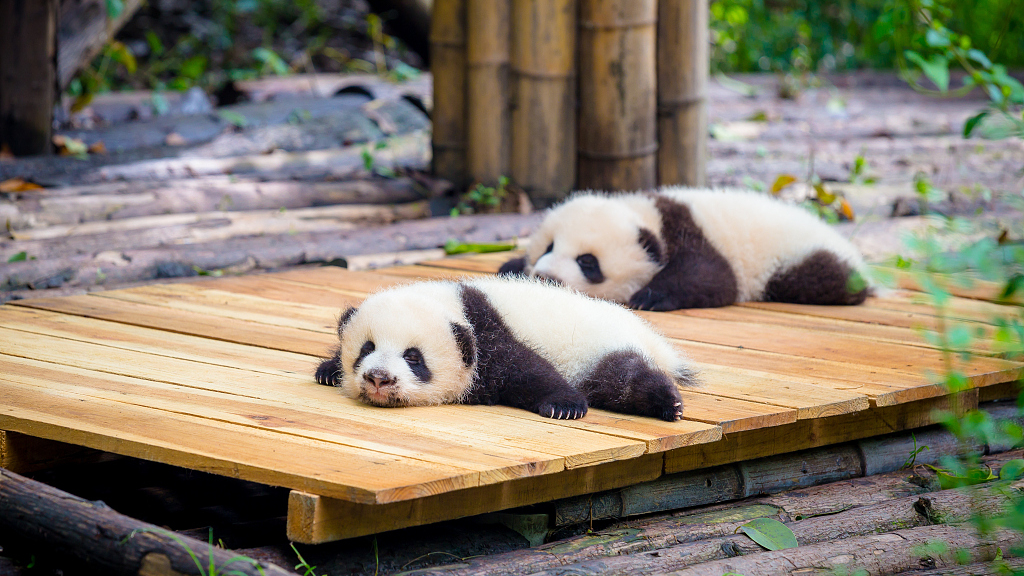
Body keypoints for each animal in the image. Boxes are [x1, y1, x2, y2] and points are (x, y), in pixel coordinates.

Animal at [315, 276, 697, 421]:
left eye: (413, 357)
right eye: (366, 348)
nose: (379, 378)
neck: (453, 303)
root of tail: (649, 336)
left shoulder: (490, 336)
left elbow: (529, 370)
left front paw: (564, 406)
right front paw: (329, 370)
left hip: (602, 347)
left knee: (623, 378)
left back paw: (668, 403)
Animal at [499, 187, 872, 311]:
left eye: (588, 262)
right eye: (548, 246)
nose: (546, 276)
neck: (649, 214)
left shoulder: (693, 236)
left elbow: (713, 278)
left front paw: (650, 297)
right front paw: (511, 267)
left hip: (798, 258)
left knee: (821, 278)